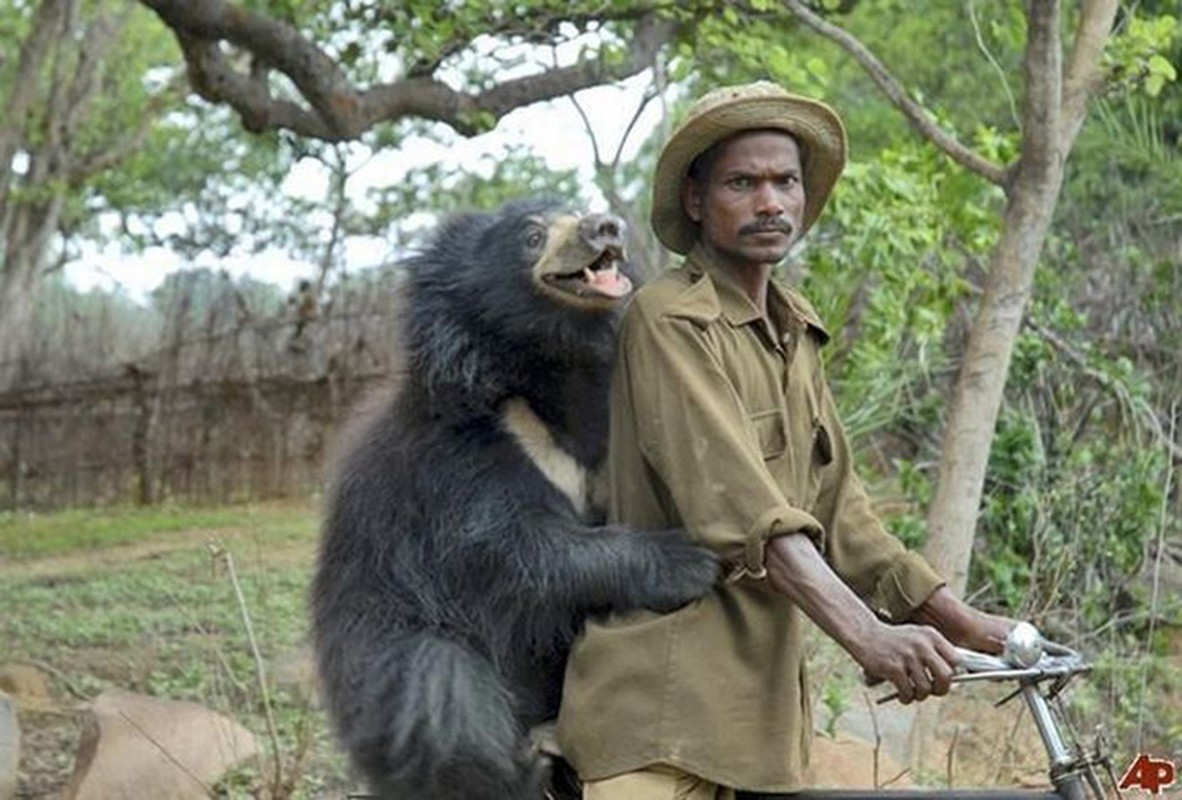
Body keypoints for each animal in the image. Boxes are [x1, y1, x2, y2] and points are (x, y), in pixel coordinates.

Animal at [314, 198, 713, 798]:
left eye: (580, 210)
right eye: (531, 236)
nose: (607, 226)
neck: (555, 370)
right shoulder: (458, 454)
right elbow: (515, 547)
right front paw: (687, 561)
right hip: (383, 648)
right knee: (439, 695)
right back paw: (520, 771)